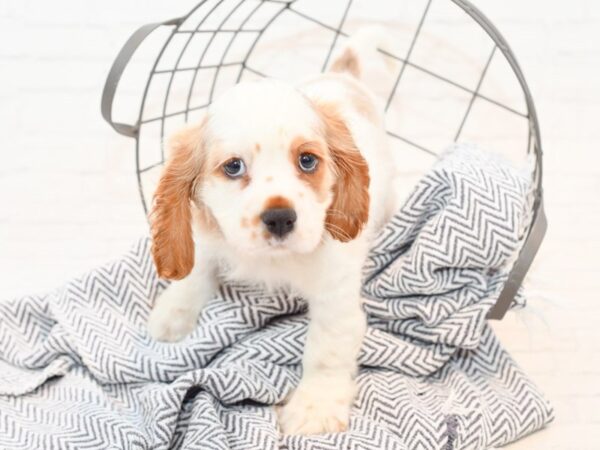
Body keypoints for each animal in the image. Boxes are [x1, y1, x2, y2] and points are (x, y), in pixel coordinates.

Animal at [148, 30, 396, 436]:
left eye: (307, 160)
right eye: (233, 166)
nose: (280, 218)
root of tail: (342, 75)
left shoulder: (335, 295)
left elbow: (326, 349)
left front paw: (315, 407)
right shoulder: (208, 237)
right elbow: (197, 271)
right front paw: (173, 314)